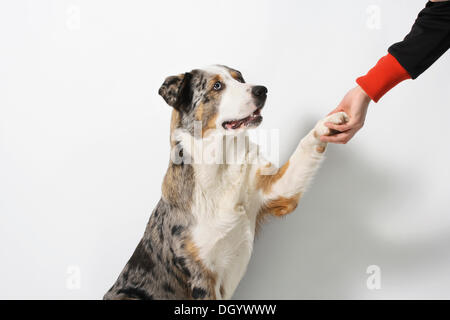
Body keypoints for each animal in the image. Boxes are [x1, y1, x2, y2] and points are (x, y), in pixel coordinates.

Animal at [104, 65, 348, 300]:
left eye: (239, 78)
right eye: (217, 86)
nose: (262, 90)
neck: (221, 166)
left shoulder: (277, 191)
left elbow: (304, 149)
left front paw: (327, 124)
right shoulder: (201, 275)